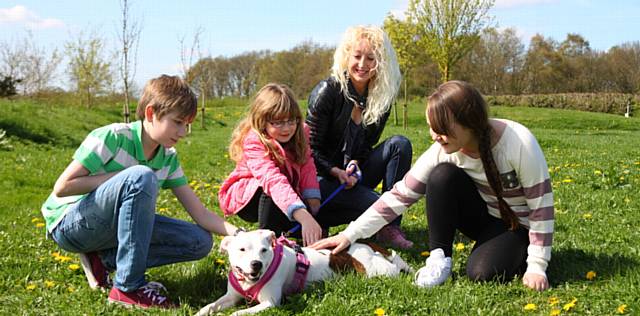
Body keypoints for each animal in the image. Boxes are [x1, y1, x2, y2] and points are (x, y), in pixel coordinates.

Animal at [195, 230, 412, 316]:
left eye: (264, 250)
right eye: (242, 249)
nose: (256, 264)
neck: (249, 283)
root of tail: (365, 243)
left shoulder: (270, 303)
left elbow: (238, 313)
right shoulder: (231, 297)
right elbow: (211, 306)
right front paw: (200, 312)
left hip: (378, 271)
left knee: (397, 262)